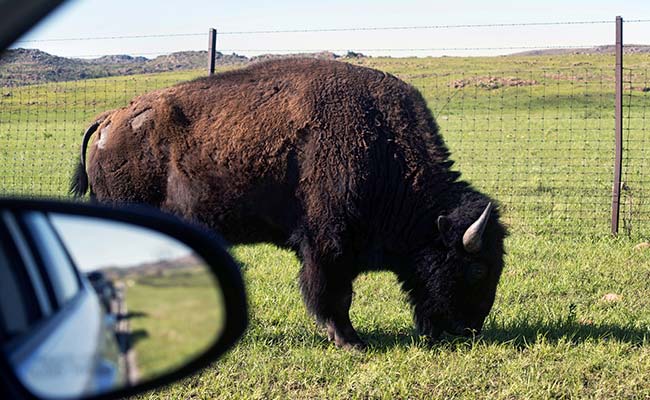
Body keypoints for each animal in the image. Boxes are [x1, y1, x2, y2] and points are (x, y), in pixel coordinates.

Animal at [71, 57, 506, 348]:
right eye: (476, 269)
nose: (468, 330)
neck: (384, 148)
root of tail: (109, 118)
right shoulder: (328, 246)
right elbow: (334, 294)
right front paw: (350, 341)